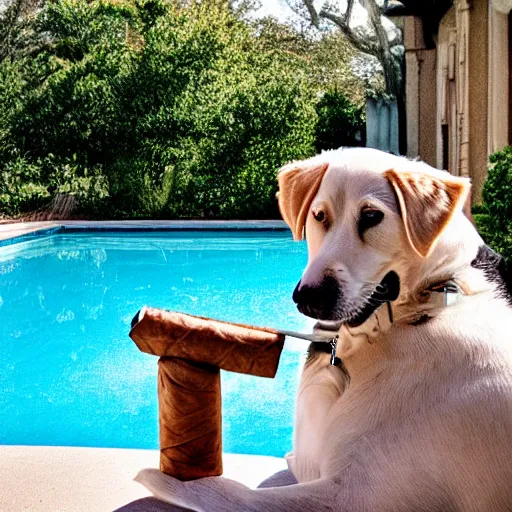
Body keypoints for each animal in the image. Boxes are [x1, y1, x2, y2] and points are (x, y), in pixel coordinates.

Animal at [136, 148, 512, 512]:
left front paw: (163, 479)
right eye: (319, 216)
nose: (309, 298)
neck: (419, 308)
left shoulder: (353, 494)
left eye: (372, 216)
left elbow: (225, 493)